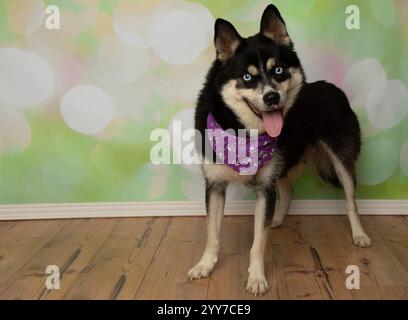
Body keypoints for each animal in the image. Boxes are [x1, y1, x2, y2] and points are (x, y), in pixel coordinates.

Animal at [187, 3, 370, 296]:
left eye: (279, 71)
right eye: (247, 77)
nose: (272, 98)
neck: (243, 134)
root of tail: (333, 88)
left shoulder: (265, 187)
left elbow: (258, 243)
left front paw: (256, 278)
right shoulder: (215, 184)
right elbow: (213, 234)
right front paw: (205, 265)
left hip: (341, 160)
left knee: (351, 200)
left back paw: (359, 234)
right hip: (282, 164)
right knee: (289, 191)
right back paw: (276, 221)